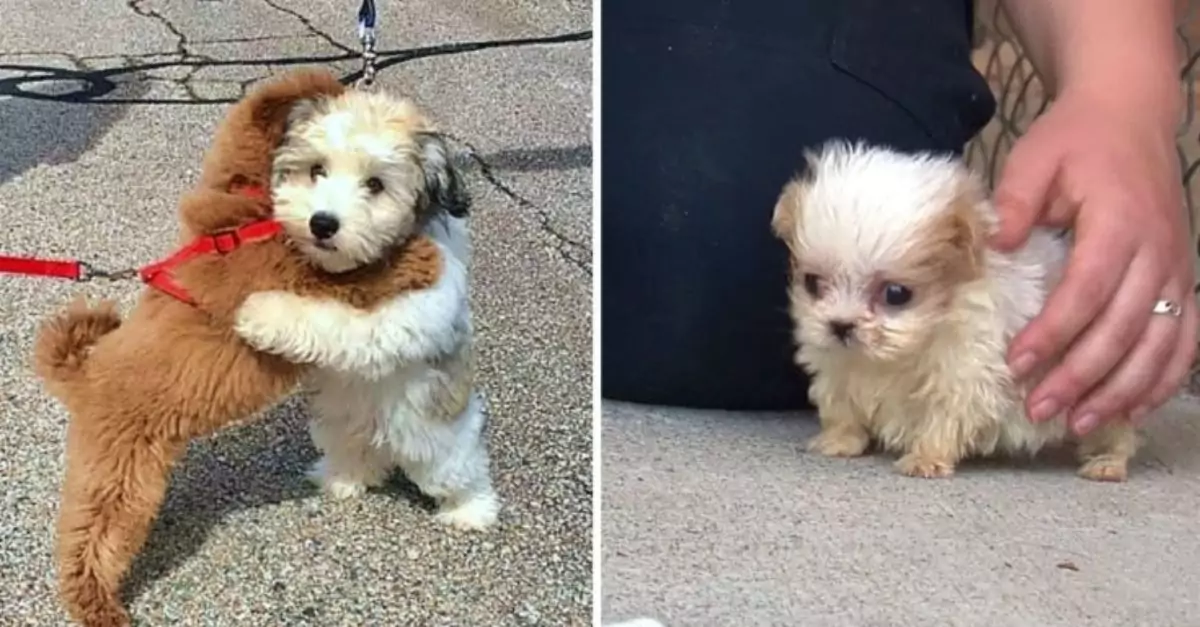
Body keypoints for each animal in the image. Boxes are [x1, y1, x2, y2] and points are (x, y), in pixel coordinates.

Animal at [35, 68, 446, 624]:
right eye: (318, 169)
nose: (322, 221)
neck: (246, 220)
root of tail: (83, 375)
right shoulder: (296, 274)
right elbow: (356, 276)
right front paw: (419, 257)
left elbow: (249, 116)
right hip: (118, 477)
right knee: (89, 541)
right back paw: (98, 605)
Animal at [231, 87, 499, 526]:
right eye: (316, 170)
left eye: (375, 184)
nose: (322, 223)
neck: (368, 265)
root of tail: (384, 437)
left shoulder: (406, 312)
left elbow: (337, 322)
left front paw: (261, 313)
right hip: (339, 426)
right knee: (355, 455)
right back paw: (342, 479)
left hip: (440, 439)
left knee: (459, 471)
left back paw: (471, 510)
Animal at [772, 141, 1137, 480]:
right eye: (813, 283)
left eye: (896, 294)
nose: (841, 326)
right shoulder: (838, 365)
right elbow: (840, 404)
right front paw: (840, 439)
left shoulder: (965, 372)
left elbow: (944, 416)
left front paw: (926, 458)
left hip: (1100, 390)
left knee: (1115, 430)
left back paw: (1108, 462)